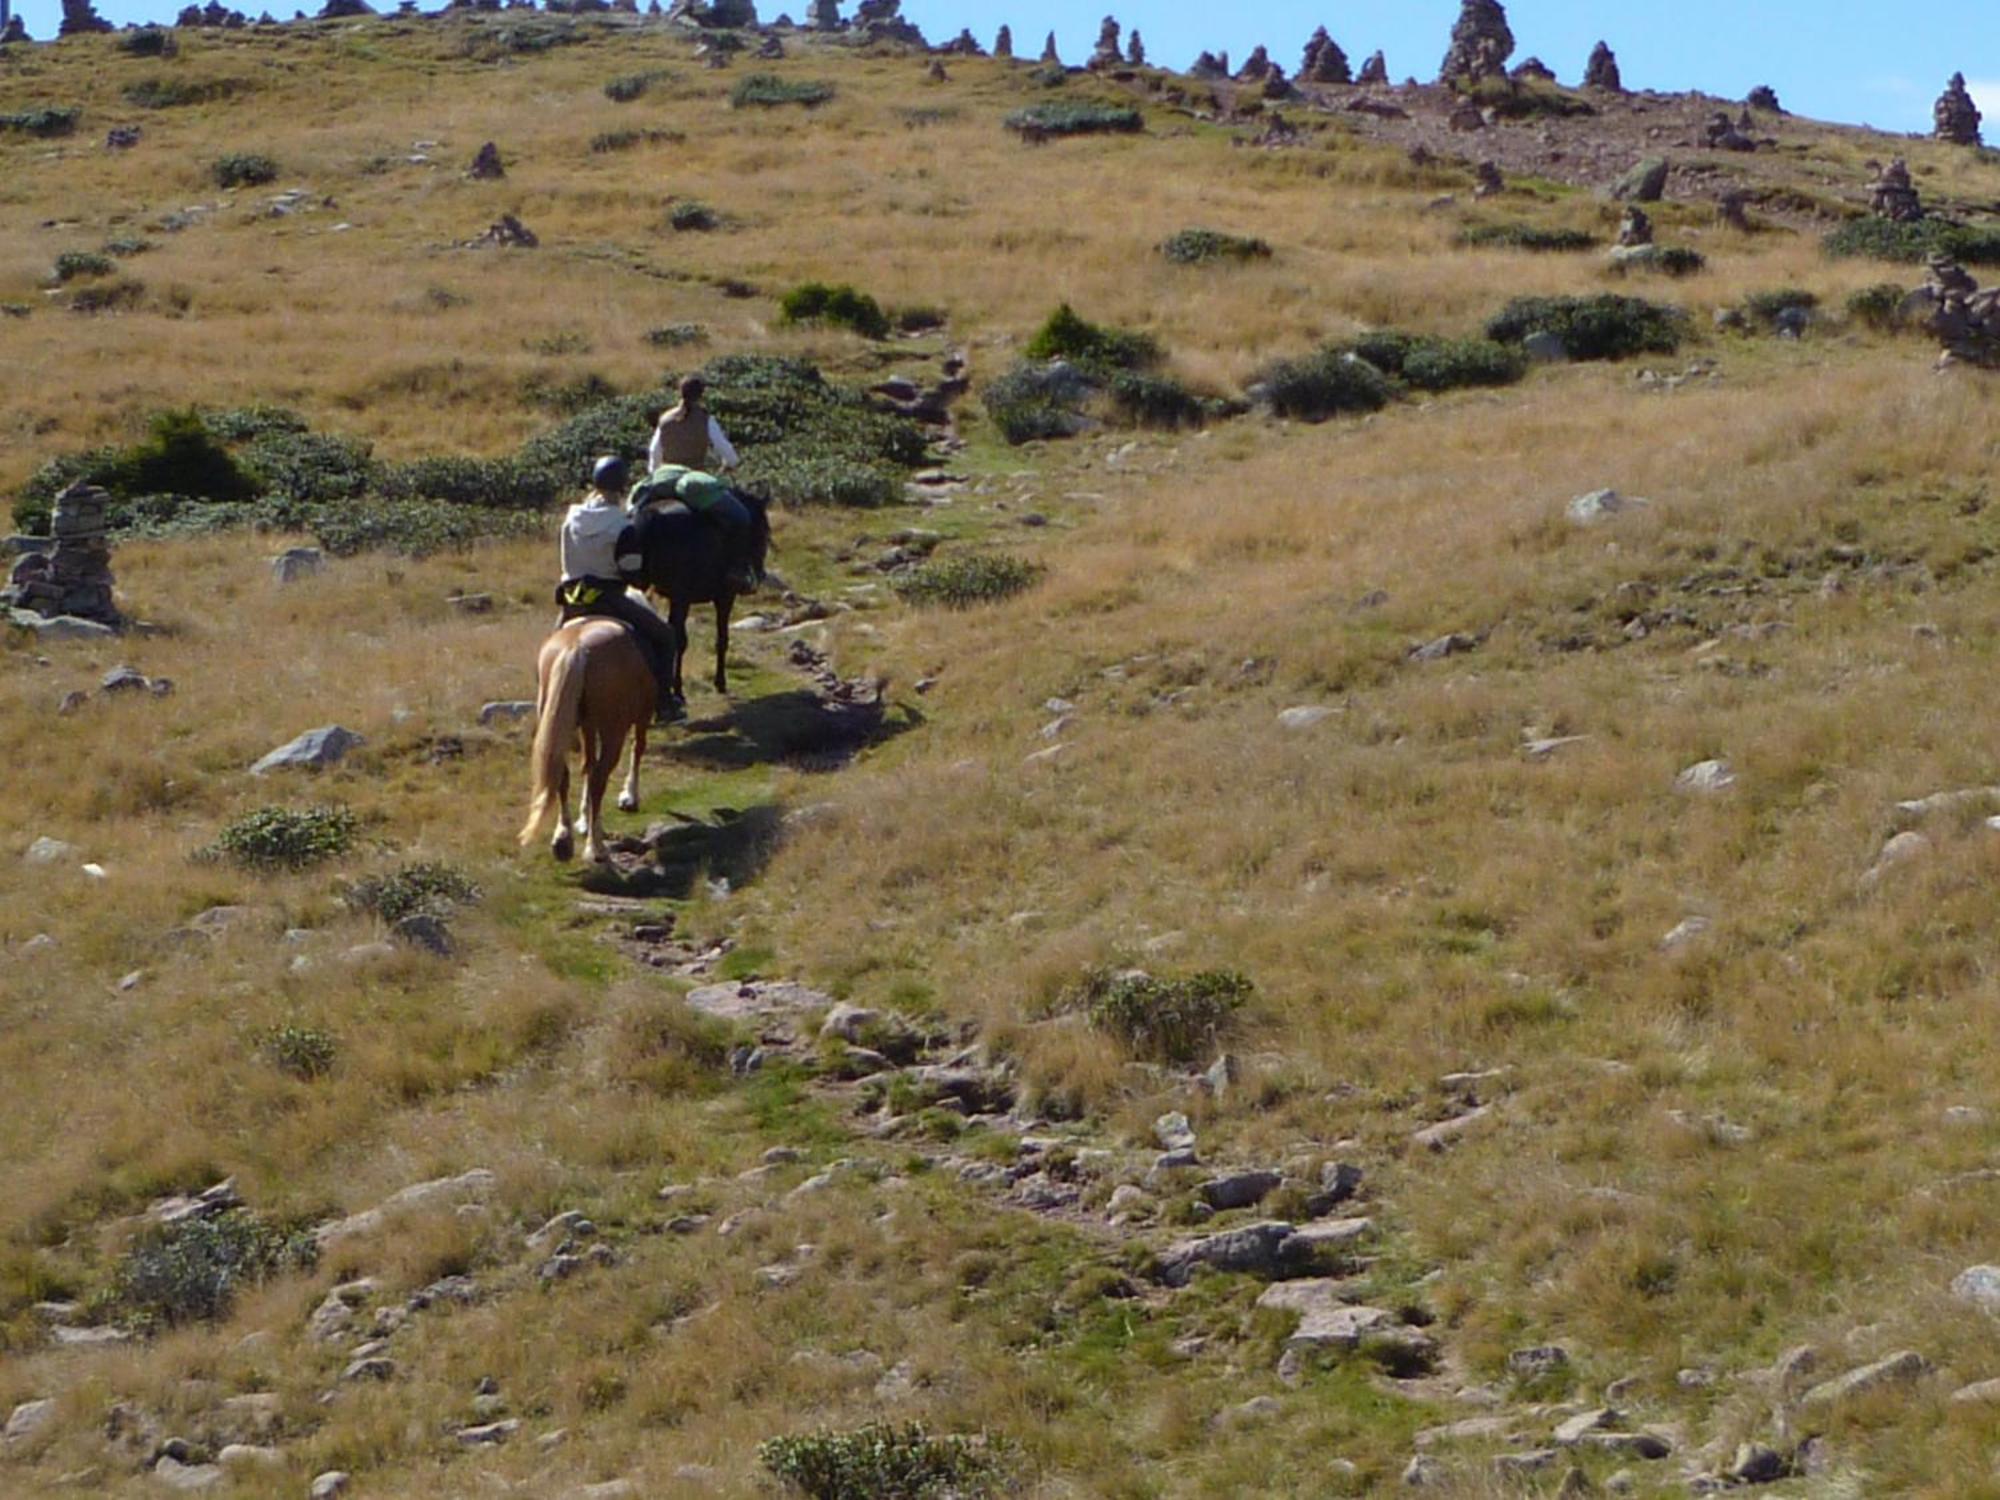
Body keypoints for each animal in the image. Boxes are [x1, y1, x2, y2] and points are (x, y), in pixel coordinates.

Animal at [516, 616, 656, 864]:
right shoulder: (642, 717)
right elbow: (637, 749)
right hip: (613, 730)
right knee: (600, 778)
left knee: (564, 775)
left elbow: (587, 767)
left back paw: (563, 838)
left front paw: (583, 818)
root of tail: (576, 647)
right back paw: (595, 847)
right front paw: (629, 797)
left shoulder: (588, 727)